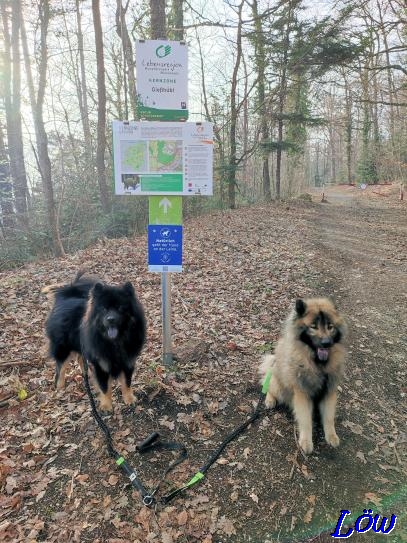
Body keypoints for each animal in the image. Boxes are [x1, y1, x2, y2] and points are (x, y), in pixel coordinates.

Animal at [44, 274, 147, 410]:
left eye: (120, 308)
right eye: (104, 309)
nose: (111, 319)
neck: (115, 342)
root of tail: (66, 297)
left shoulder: (128, 362)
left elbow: (127, 382)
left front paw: (129, 399)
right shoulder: (101, 364)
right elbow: (104, 387)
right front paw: (106, 406)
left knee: (80, 359)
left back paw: (86, 374)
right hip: (63, 349)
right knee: (60, 368)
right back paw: (60, 386)